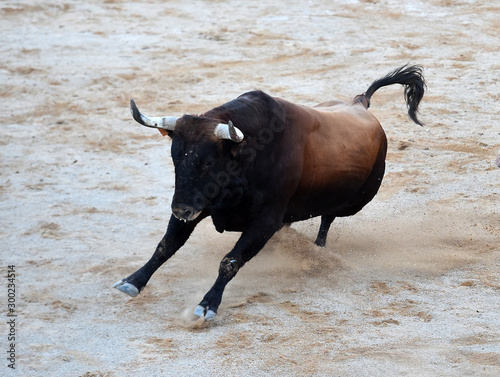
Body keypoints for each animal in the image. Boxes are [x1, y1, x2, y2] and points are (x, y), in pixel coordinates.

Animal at [114, 64, 426, 318]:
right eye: (175, 157)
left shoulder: (264, 221)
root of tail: (360, 102)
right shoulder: (202, 203)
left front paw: (207, 305)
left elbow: (230, 260)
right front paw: (133, 281)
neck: (248, 153)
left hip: (356, 200)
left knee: (328, 217)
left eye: (208, 162)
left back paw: (319, 250)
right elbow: (166, 245)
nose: (180, 209)